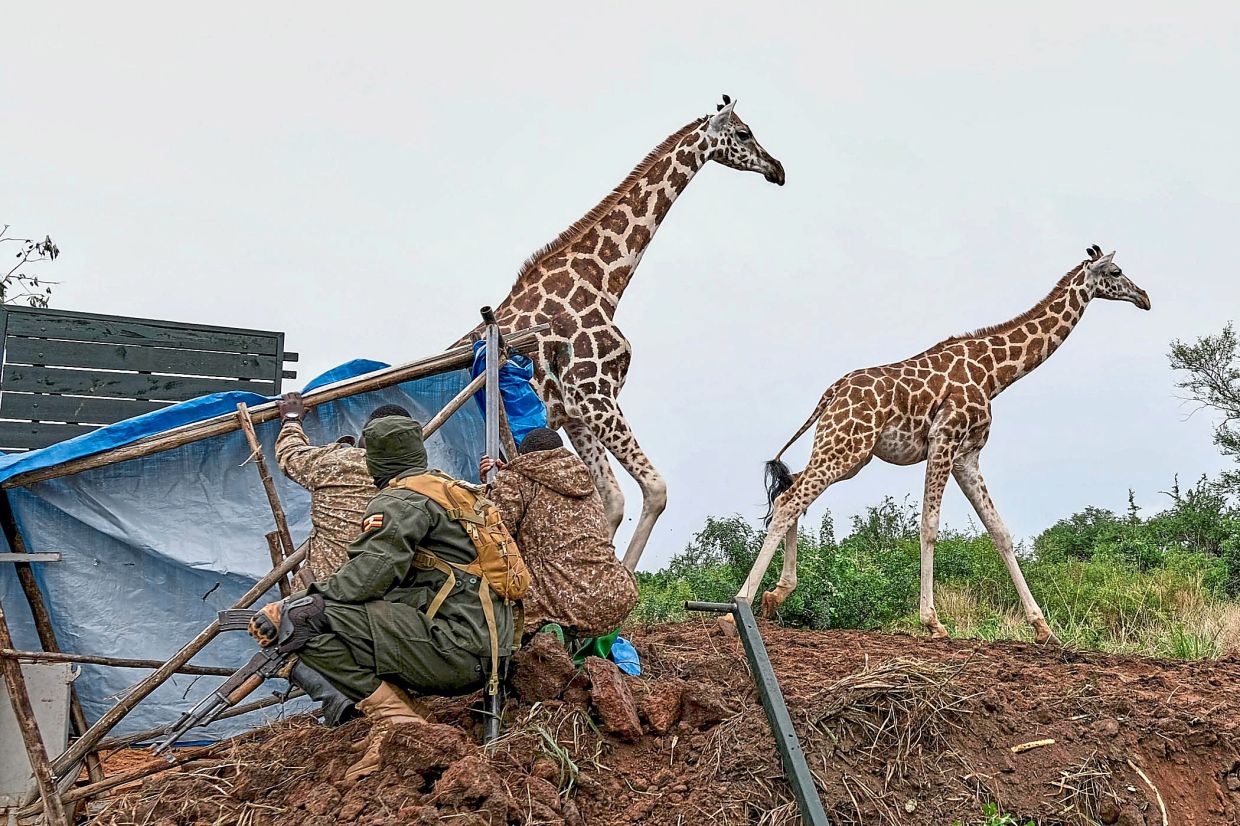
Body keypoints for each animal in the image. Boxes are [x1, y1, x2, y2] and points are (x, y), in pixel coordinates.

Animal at [458, 96, 784, 571]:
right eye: (744, 133)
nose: (778, 168)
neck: (603, 283)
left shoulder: (576, 411)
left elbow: (610, 500)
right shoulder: (596, 395)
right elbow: (655, 488)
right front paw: (623, 579)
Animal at [739, 246, 1150, 643]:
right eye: (1116, 272)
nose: (1144, 297)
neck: (994, 374)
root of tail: (831, 393)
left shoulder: (967, 456)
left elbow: (999, 530)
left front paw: (1042, 626)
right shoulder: (944, 440)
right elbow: (929, 525)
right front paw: (932, 621)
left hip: (847, 452)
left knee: (789, 492)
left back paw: (775, 596)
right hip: (847, 446)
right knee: (791, 499)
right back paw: (741, 603)